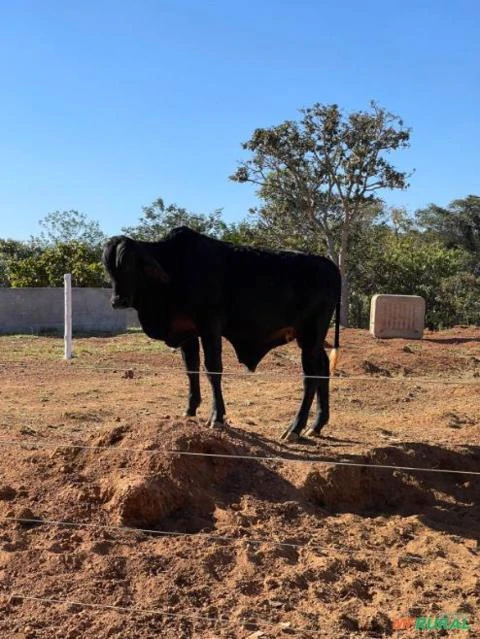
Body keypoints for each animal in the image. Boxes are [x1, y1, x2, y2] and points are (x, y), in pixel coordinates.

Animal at [102, 225, 340, 440]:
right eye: (110, 269)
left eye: (131, 265)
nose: (118, 301)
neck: (175, 267)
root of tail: (329, 265)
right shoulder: (188, 332)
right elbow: (191, 369)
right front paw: (190, 410)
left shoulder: (210, 326)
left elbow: (212, 369)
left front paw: (216, 417)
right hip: (312, 339)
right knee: (323, 368)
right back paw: (316, 425)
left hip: (310, 334)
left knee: (311, 376)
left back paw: (295, 428)